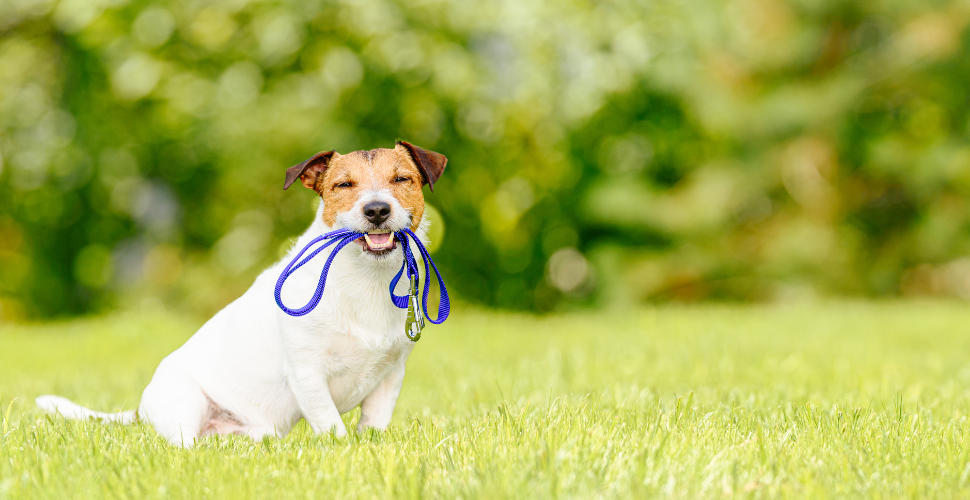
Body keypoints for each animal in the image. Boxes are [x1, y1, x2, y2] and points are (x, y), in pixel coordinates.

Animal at [36, 140, 448, 446]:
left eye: (401, 179)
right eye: (343, 185)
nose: (377, 210)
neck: (365, 280)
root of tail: (142, 409)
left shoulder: (391, 373)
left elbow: (374, 423)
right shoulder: (306, 371)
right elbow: (332, 425)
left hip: (258, 431)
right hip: (186, 402)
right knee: (184, 444)